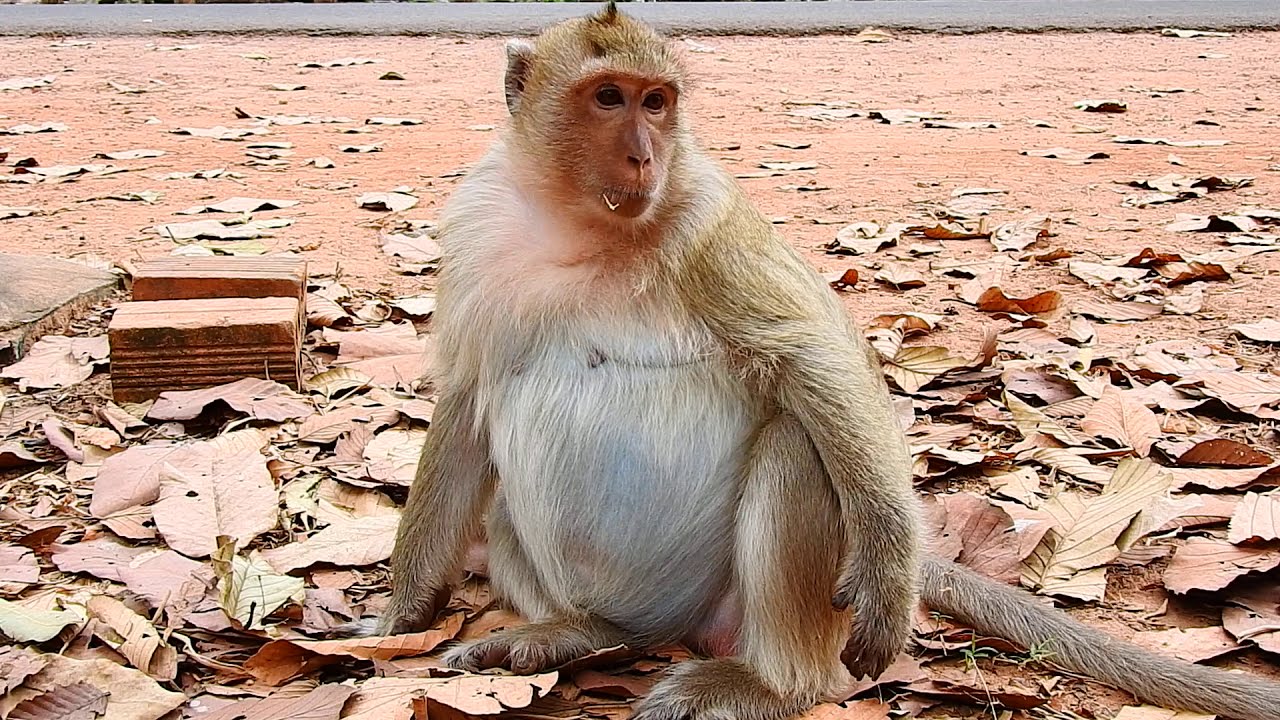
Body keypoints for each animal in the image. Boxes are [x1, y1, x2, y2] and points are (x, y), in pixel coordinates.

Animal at [372, 5, 1280, 720]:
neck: (582, 233)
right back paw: (577, 635)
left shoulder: (706, 221)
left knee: (797, 451)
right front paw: (404, 616)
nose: (643, 156)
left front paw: (886, 565)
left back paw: (774, 685)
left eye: (657, 102)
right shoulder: (480, 230)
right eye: (607, 97)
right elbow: (466, 398)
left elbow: (814, 359)